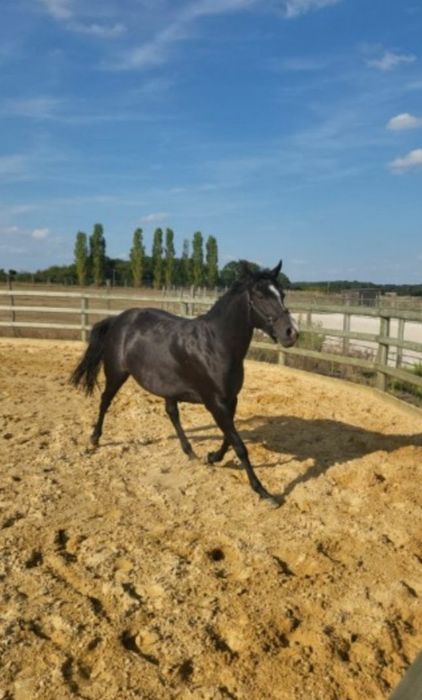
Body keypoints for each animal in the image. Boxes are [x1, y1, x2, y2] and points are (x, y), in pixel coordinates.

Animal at [70, 262, 296, 504]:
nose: (291, 333)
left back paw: (190, 452)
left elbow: (229, 438)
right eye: (260, 296)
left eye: (282, 294)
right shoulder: (215, 403)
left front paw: (212, 457)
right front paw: (264, 493)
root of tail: (118, 320)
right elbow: (239, 445)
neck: (216, 345)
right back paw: (94, 439)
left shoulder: (231, 400)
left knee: (171, 413)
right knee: (105, 401)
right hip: (116, 373)